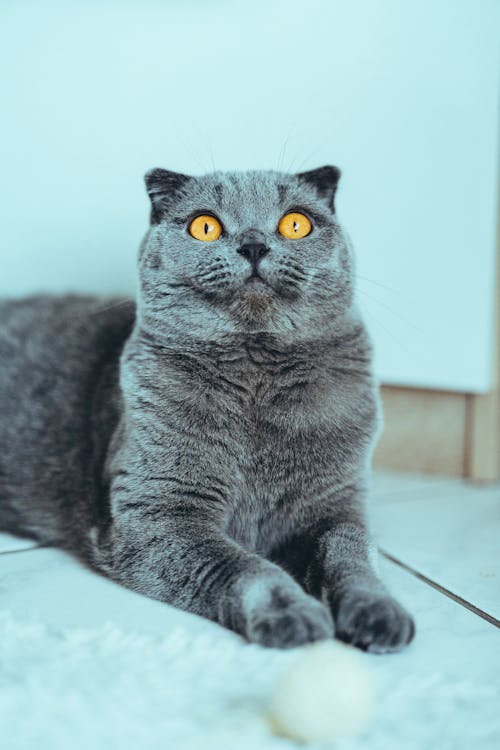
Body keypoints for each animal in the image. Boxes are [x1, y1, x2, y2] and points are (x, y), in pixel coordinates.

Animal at [0, 164, 414, 652]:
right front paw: (291, 615)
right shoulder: (161, 511)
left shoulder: (336, 504)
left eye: (296, 223)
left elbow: (351, 554)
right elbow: (247, 567)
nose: (253, 245)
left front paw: (378, 611)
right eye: (205, 226)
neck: (256, 380)